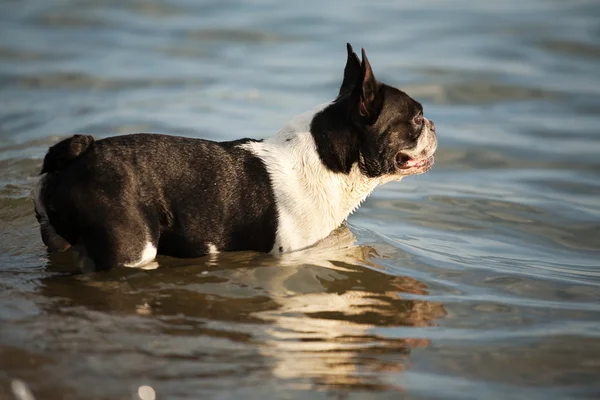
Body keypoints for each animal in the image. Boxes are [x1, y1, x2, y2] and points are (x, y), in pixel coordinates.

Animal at [34, 45, 436, 274]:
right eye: (416, 118)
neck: (327, 161)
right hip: (133, 247)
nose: (433, 124)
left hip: (59, 238)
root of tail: (79, 153)